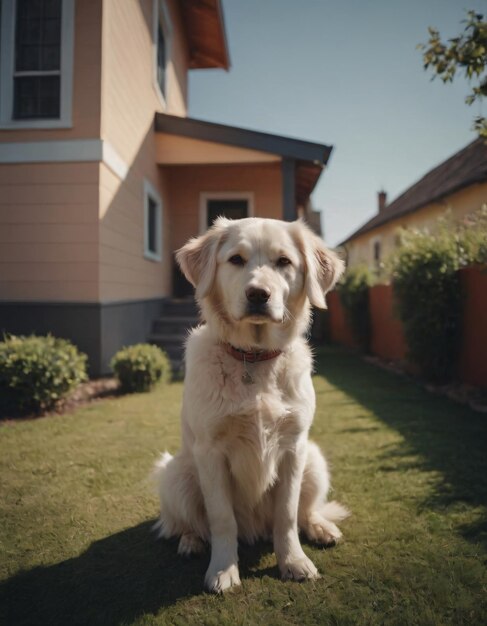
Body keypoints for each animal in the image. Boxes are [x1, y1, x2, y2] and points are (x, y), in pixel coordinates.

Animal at [154, 218, 348, 588]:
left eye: (284, 262)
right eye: (236, 260)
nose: (258, 294)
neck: (254, 358)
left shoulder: (293, 447)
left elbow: (287, 515)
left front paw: (294, 561)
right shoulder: (210, 452)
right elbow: (221, 518)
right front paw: (223, 569)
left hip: (314, 460)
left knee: (306, 510)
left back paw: (320, 527)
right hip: (175, 473)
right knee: (188, 523)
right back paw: (191, 542)